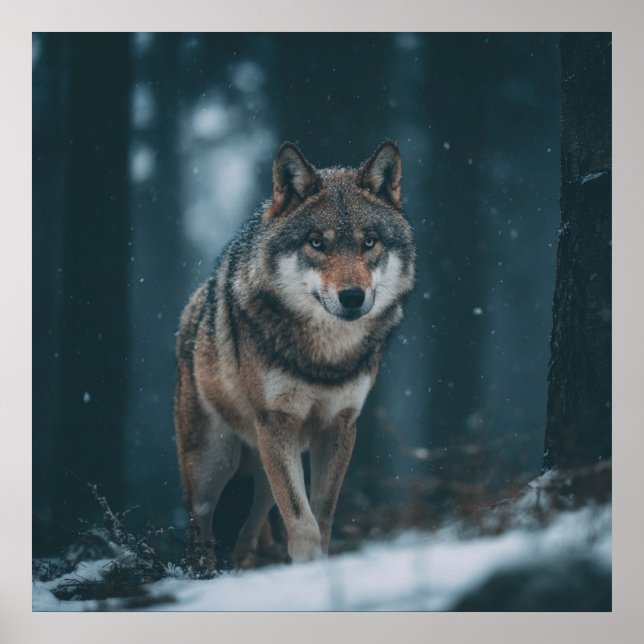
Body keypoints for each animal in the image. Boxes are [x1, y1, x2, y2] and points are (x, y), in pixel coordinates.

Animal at [174, 140, 415, 566]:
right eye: (316, 242)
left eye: (369, 241)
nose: (352, 297)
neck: (325, 357)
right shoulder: (278, 421)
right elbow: (302, 522)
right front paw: (309, 567)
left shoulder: (340, 426)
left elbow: (322, 517)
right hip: (214, 464)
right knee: (200, 532)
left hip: (262, 467)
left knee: (249, 533)